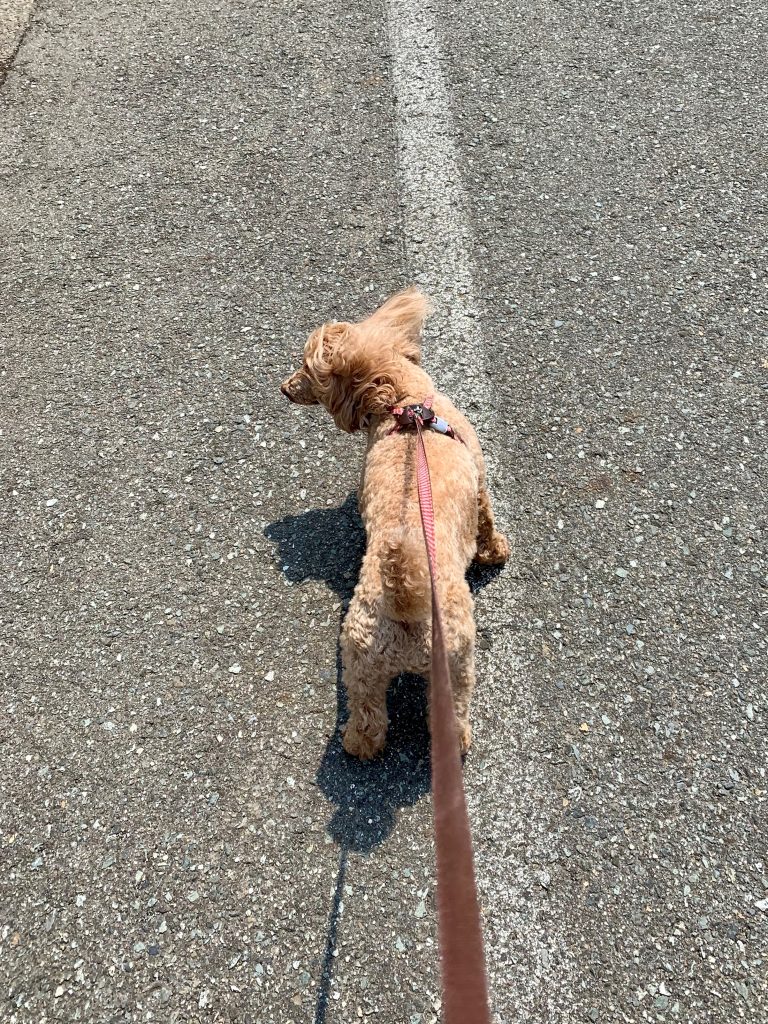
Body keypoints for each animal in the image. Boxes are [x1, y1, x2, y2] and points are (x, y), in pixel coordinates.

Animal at [281, 288, 509, 759]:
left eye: (308, 370)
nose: (284, 388)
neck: (405, 404)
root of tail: (405, 601)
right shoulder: (479, 480)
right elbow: (486, 520)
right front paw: (496, 552)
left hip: (360, 660)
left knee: (369, 717)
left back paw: (357, 745)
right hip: (457, 663)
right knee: (453, 714)